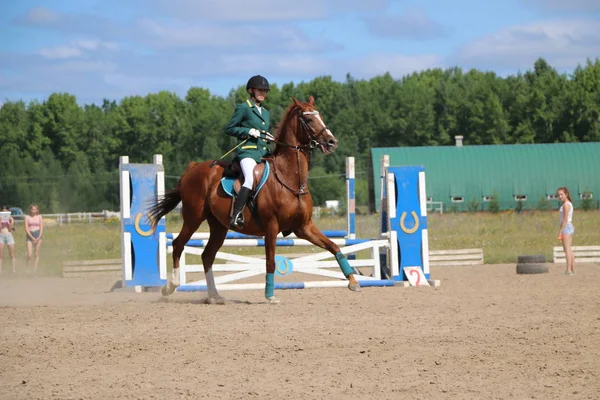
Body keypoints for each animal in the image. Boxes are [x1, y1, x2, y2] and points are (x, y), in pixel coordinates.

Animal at [148, 97, 360, 304]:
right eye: (308, 119)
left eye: (320, 117)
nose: (332, 142)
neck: (289, 178)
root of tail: (193, 168)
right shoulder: (272, 227)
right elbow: (271, 261)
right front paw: (270, 295)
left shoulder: (304, 227)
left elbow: (334, 246)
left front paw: (353, 281)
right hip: (193, 217)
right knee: (178, 244)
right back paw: (170, 286)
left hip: (218, 226)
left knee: (207, 255)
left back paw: (214, 296)